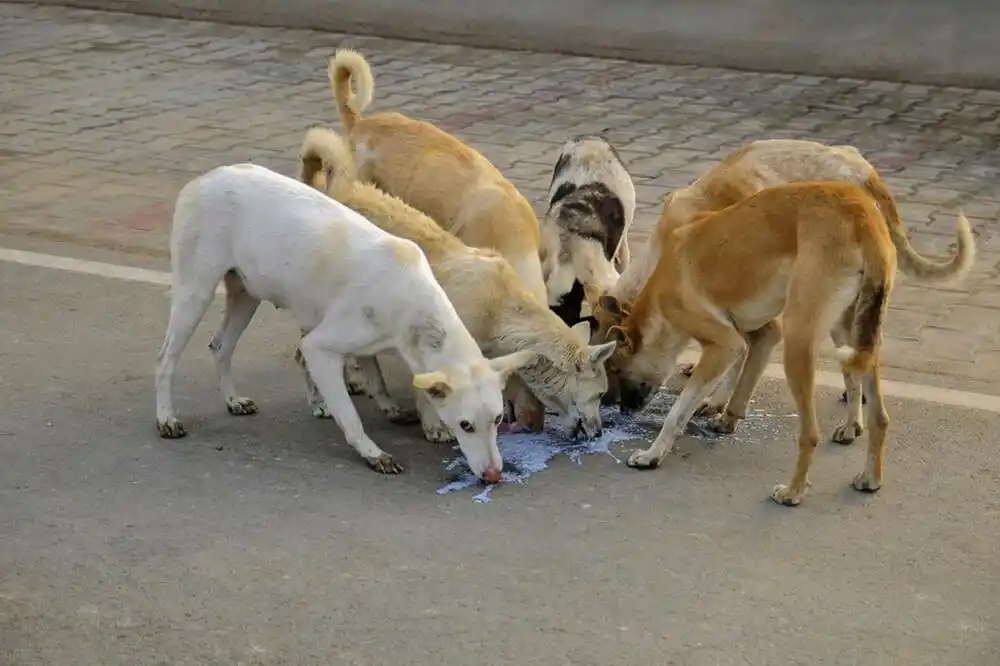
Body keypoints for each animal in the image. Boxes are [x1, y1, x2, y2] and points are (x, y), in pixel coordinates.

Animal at [152, 163, 536, 480]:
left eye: (497, 419)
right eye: (465, 425)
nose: (493, 476)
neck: (412, 298)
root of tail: (203, 179)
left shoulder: (376, 346)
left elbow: (381, 378)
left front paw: (399, 411)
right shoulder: (319, 347)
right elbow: (350, 414)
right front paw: (373, 453)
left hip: (246, 295)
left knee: (220, 346)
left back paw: (232, 400)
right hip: (195, 293)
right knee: (165, 359)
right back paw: (166, 418)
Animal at [588, 180, 972, 504]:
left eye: (616, 369)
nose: (617, 409)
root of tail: (861, 213)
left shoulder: (725, 343)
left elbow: (678, 411)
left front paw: (654, 454)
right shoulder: (750, 335)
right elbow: (739, 377)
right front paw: (724, 414)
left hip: (800, 344)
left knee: (811, 433)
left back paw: (794, 492)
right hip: (853, 334)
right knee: (879, 415)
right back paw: (869, 476)